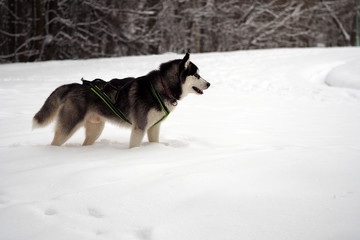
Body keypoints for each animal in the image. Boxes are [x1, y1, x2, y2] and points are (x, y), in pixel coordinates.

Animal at [33, 53, 211, 148]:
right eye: (196, 75)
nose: (209, 84)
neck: (162, 87)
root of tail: (73, 86)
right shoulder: (139, 127)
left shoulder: (154, 127)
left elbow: (155, 141)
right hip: (68, 126)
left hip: (96, 128)